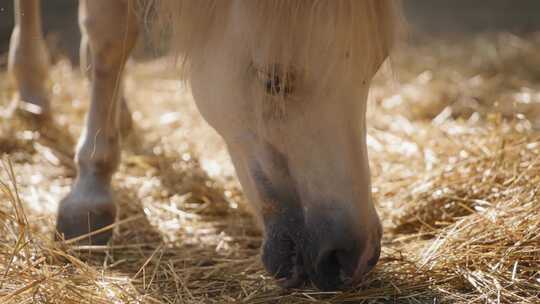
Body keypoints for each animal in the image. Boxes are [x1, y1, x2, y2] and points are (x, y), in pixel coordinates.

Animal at [7, 0, 400, 290]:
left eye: (375, 66)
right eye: (274, 80)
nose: (355, 257)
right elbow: (110, 35)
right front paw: (90, 194)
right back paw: (32, 87)